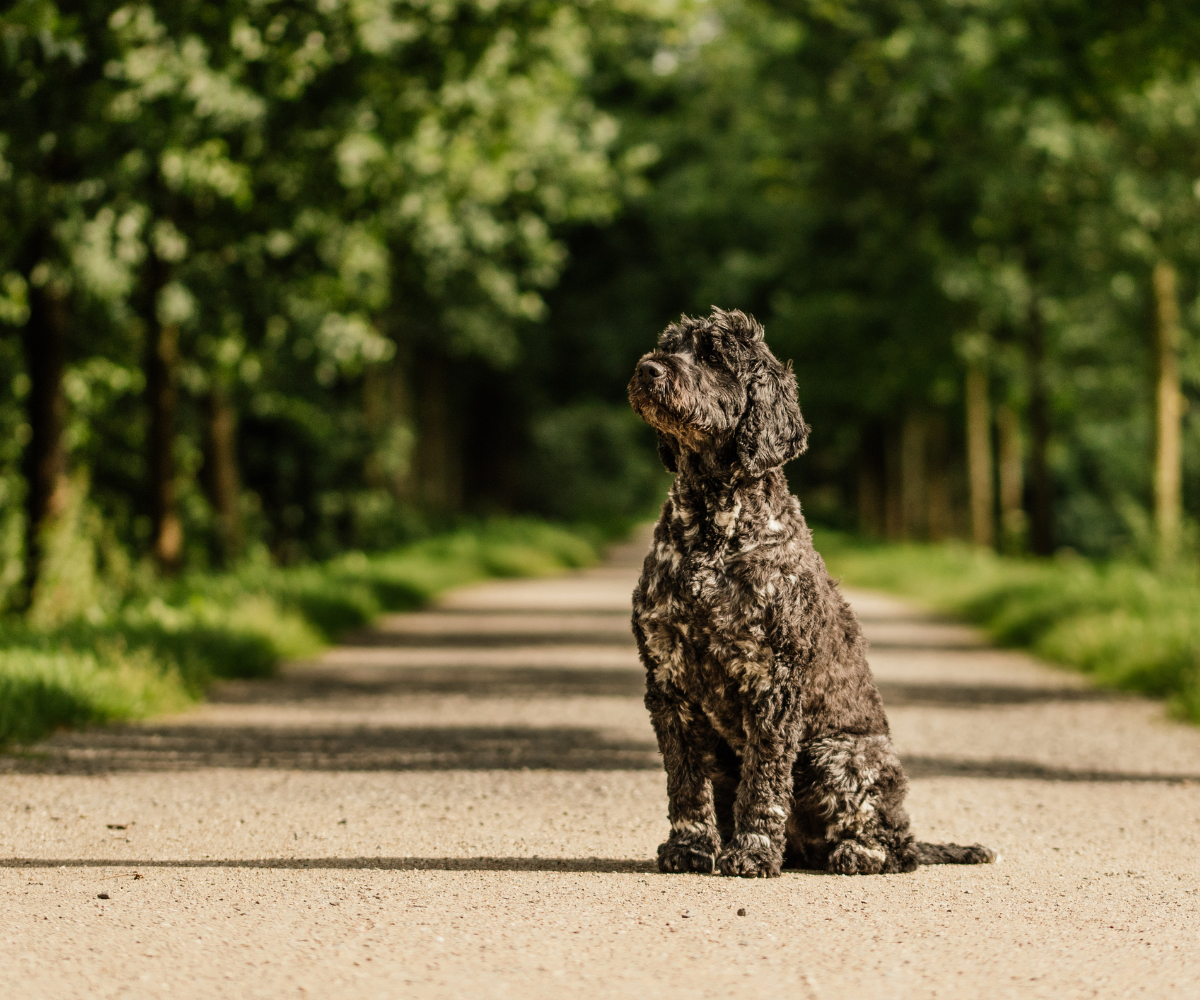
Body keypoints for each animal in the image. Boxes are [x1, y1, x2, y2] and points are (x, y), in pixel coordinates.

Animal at [628, 306, 993, 873]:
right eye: (668, 346)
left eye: (713, 356)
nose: (648, 369)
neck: (712, 531)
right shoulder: (669, 682)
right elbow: (685, 783)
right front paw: (690, 847)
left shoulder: (773, 681)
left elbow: (765, 781)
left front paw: (752, 851)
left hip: (840, 753)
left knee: (894, 845)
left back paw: (856, 853)